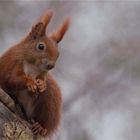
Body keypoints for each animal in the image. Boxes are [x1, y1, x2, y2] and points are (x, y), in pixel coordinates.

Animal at [0, 10, 70, 138]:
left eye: (58, 53)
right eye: (40, 46)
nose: (51, 65)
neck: (34, 66)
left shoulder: (43, 74)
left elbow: (43, 81)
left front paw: (42, 85)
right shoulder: (14, 63)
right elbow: (12, 78)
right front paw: (30, 82)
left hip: (49, 101)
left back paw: (41, 126)